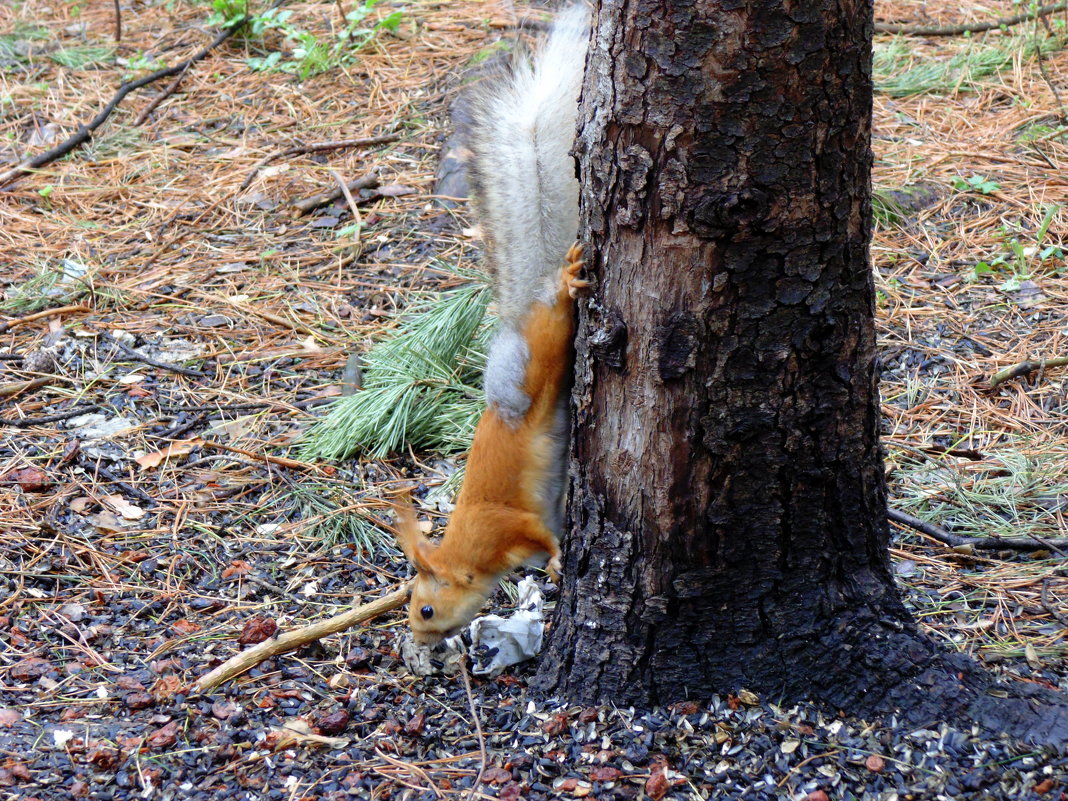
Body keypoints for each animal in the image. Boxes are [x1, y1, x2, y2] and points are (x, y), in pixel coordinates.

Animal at [395, 4, 593, 645]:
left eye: (426, 609)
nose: (421, 641)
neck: (466, 554)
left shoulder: (510, 526)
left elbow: (543, 537)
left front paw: (556, 563)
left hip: (544, 352)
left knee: (556, 321)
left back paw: (566, 283)